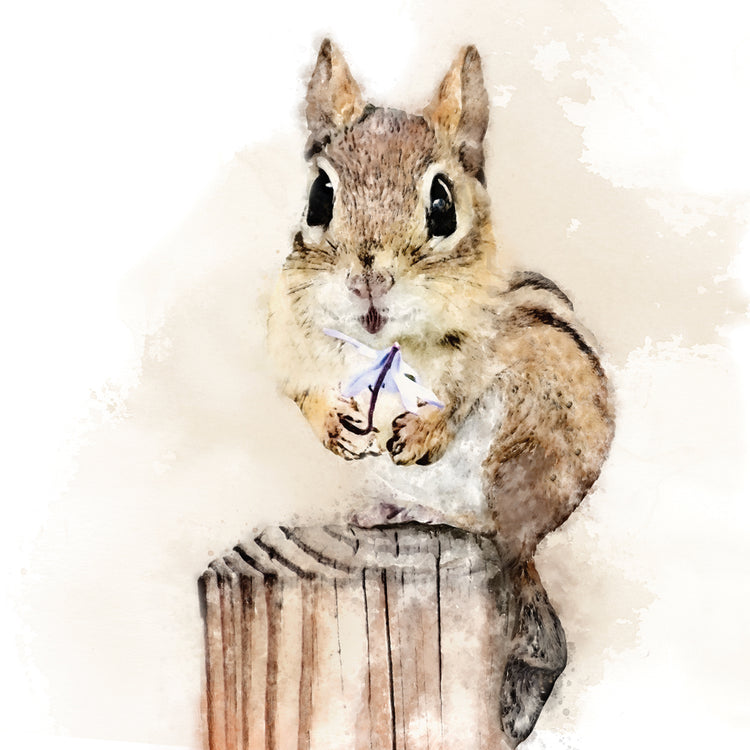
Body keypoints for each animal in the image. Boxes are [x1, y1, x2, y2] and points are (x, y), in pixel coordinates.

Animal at [267, 39, 615, 564]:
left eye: (442, 204)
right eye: (319, 197)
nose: (369, 280)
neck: (383, 343)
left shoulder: (500, 345)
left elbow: (462, 392)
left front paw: (422, 432)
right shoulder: (293, 339)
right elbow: (301, 391)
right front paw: (332, 425)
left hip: (519, 455)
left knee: (495, 528)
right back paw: (387, 511)